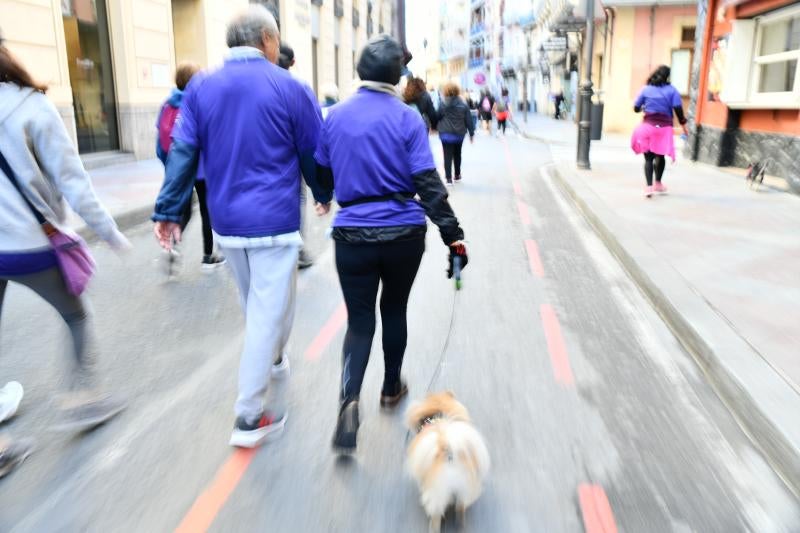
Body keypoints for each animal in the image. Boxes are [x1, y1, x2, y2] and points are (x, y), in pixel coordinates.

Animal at [406, 390, 488, 532]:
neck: (438, 412)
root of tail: (450, 457)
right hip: (465, 489)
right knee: (461, 506)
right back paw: (460, 524)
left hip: (436, 495)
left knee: (436, 515)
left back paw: (433, 528)